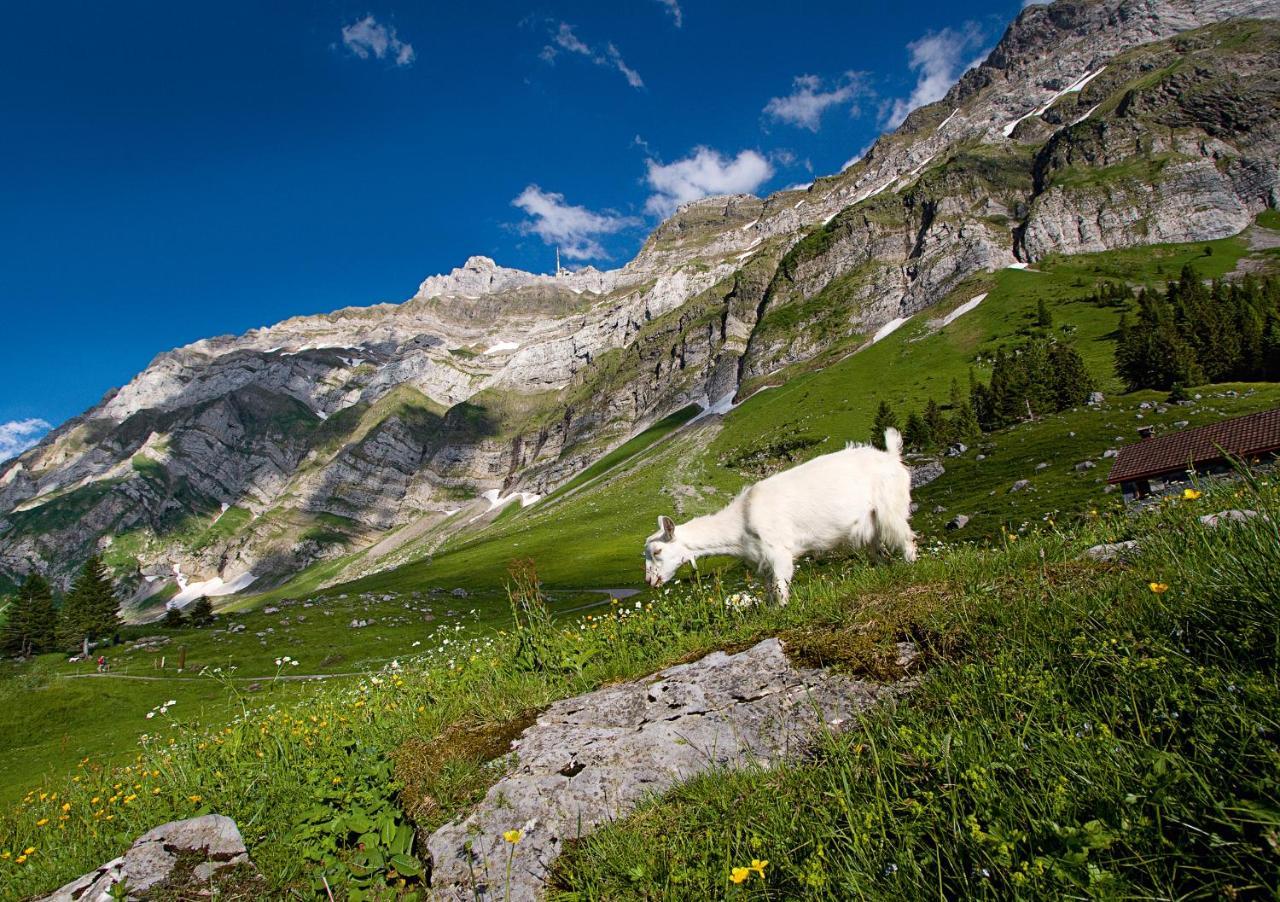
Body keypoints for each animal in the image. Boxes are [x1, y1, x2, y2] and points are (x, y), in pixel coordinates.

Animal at [645, 424, 916, 601]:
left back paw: (911, 566)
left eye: (657, 551)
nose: (650, 581)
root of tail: (891, 456)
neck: (740, 521)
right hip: (870, 523)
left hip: (891, 506)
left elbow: (781, 591)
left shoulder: (779, 553)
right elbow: (770, 594)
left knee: (906, 538)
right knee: (879, 550)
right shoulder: (762, 560)